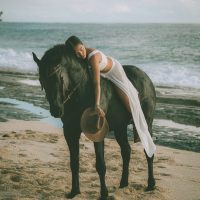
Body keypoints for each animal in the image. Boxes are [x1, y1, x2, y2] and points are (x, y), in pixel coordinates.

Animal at [32, 44, 156, 199]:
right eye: (41, 80)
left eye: (59, 78)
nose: (56, 110)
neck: (82, 91)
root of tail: (146, 78)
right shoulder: (70, 132)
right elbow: (74, 163)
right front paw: (74, 191)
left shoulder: (97, 133)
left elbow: (101, 165)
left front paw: (103, 194)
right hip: (120, 128)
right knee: (126, 151)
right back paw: (123, 183)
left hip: (146, 124)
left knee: (148, 151)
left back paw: (151, 184)